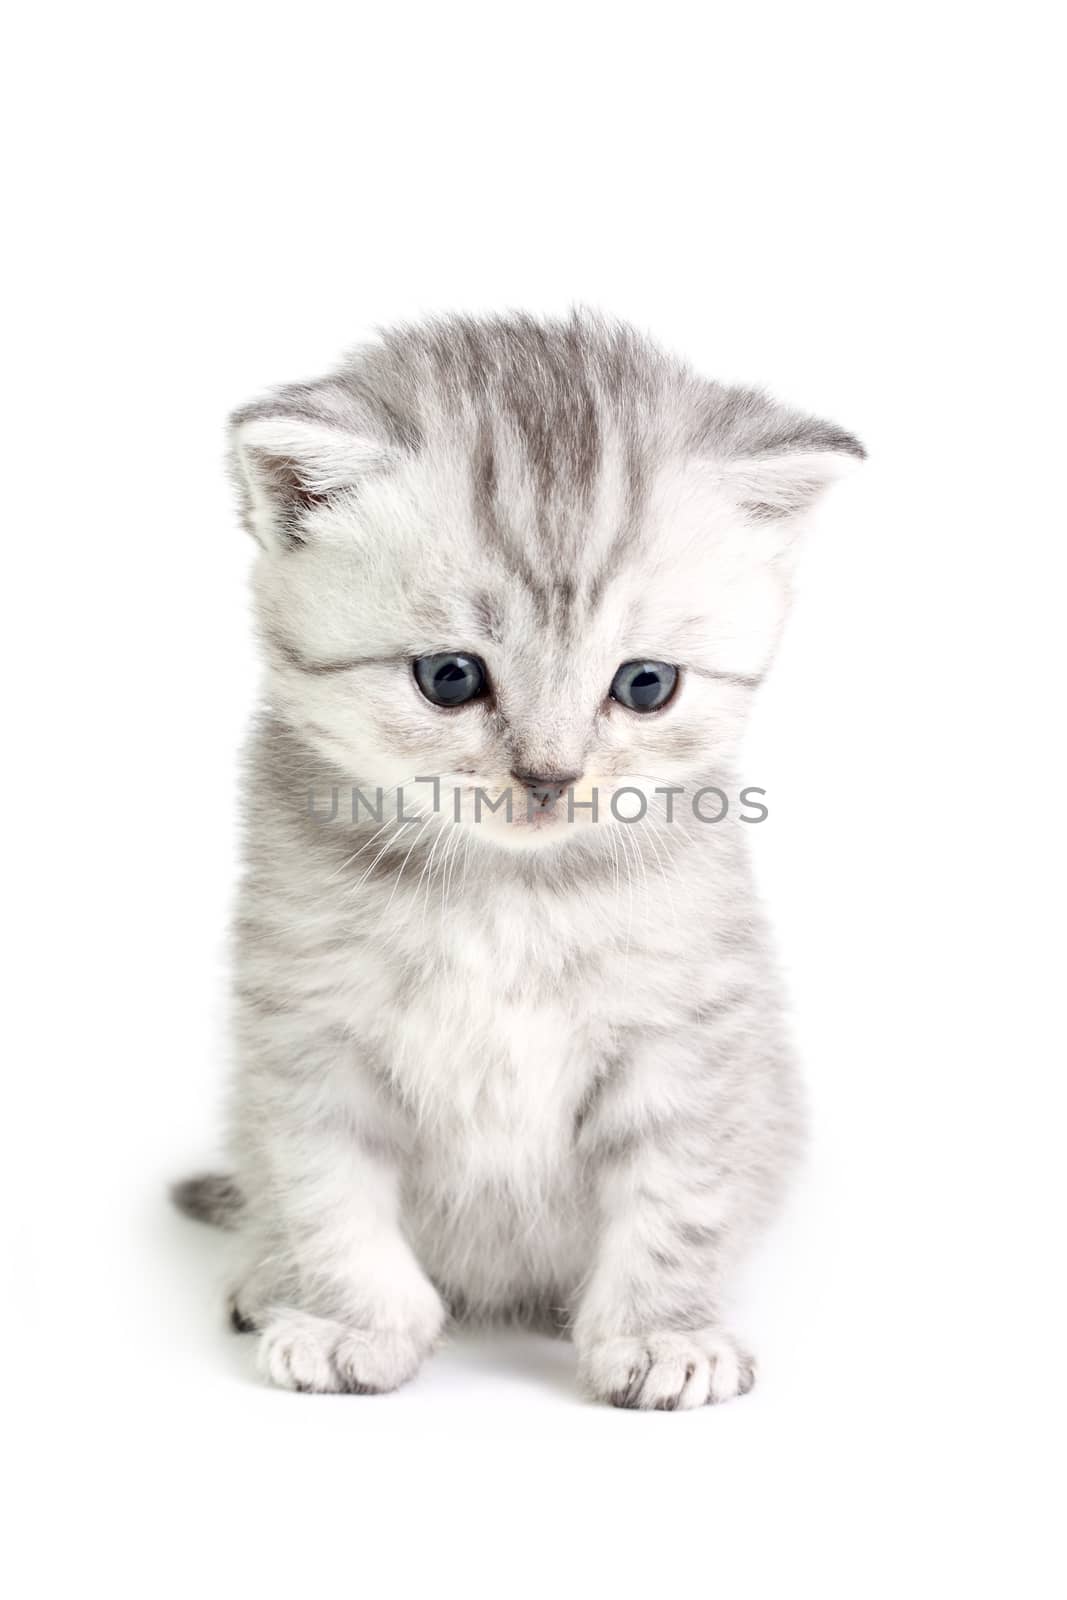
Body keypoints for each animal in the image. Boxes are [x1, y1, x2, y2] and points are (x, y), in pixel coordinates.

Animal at [173, 305, 857, 1408]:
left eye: (646, 683)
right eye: (449, 677)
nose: (548, 777)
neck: (506, 892)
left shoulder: (686, 1033)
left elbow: (675, 1198)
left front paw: (663, 1333)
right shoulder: (308, 1031)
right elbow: (329, 1195)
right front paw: (350, 1321)